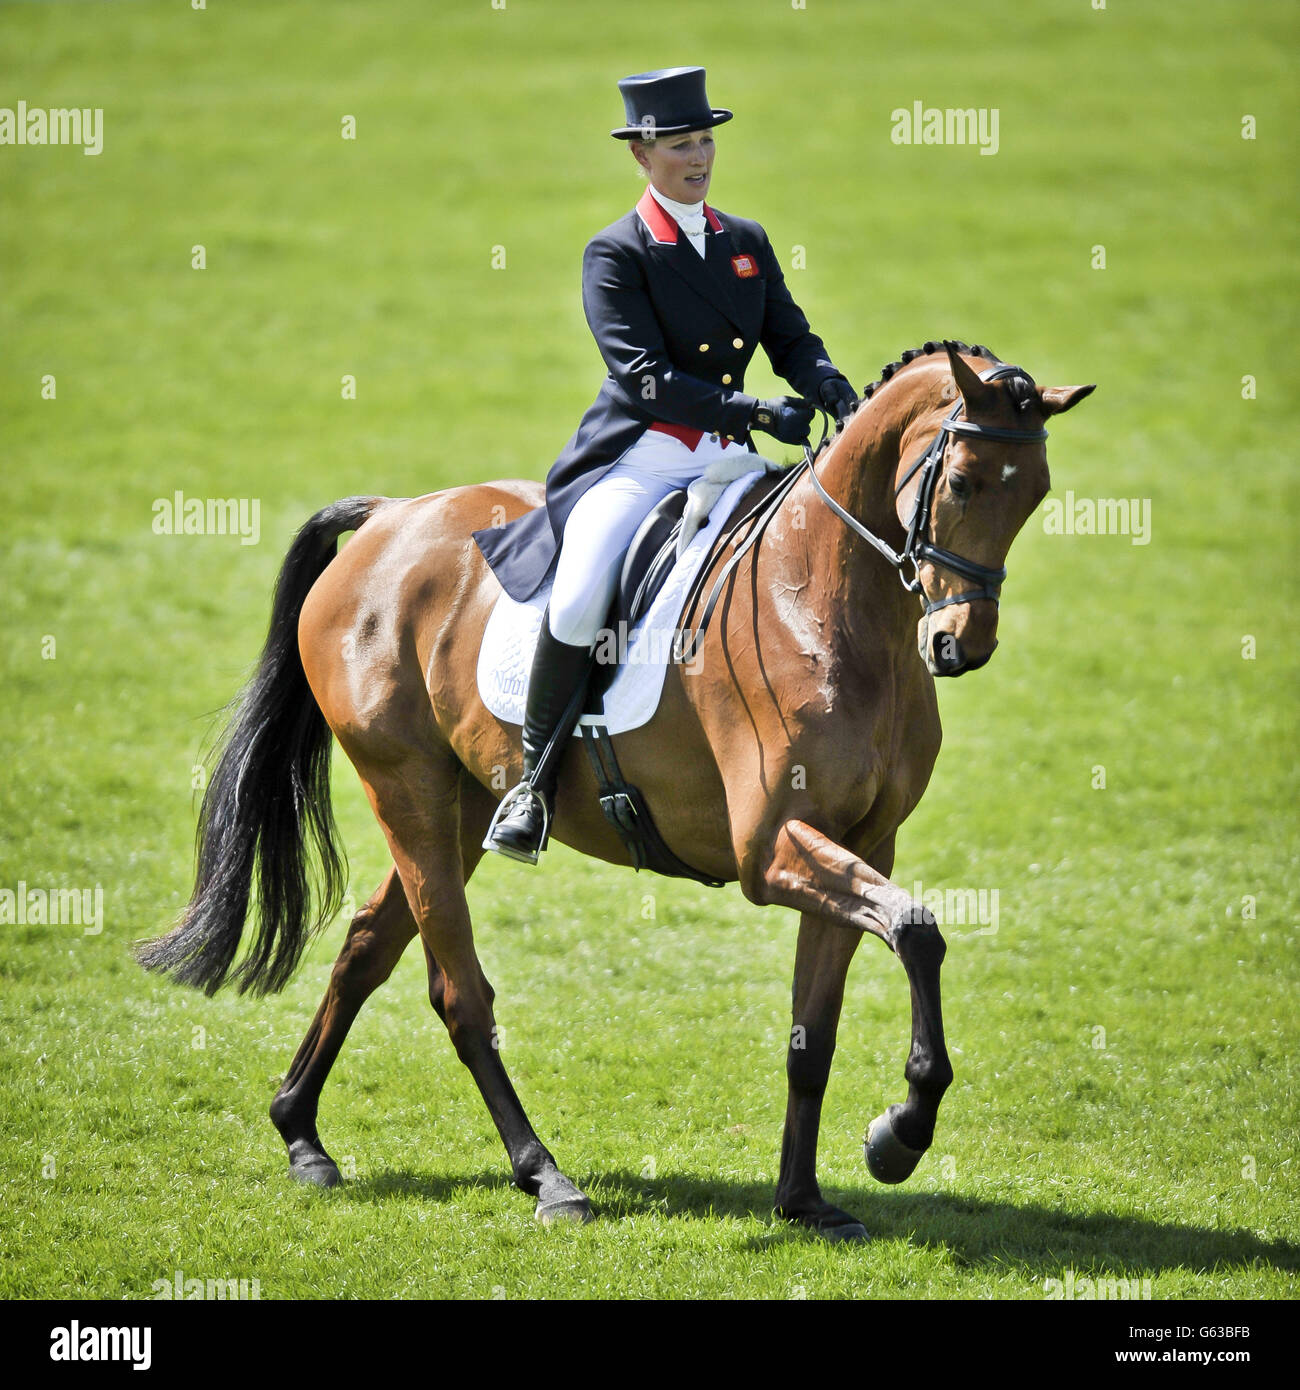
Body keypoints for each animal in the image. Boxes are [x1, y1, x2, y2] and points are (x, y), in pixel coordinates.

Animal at [136, 341, 1095, 1234]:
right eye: (964, 481)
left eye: (1037, 494)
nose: (960, 645)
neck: (830, 602)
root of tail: (388, 519)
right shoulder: (771, 850)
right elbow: (919, 931)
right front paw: (899, 1135)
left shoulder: (865, 843)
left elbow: (814, 1032)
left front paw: (804, 1199)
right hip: (406, 790)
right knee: (460, 994)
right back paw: (544, 1177)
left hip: (465, 802)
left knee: (369, 944)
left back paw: (301, 1134)